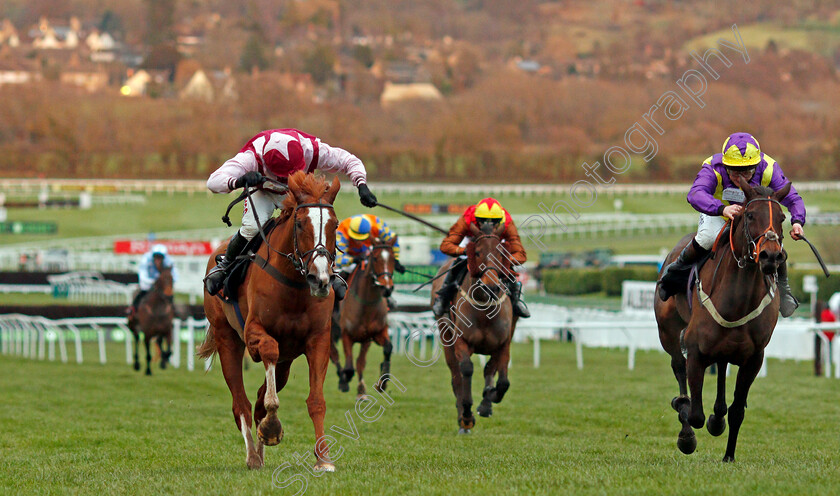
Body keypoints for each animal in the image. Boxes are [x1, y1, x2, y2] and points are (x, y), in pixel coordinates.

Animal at [199, 172, 340, 470]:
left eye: (334, 225)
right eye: (300, 223)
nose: (320, 279)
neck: (294, 285)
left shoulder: (318, 340)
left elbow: (315, 400)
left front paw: (323, 458)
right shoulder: (254, 333)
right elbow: (268, 353)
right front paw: (272, 427)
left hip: (287, 362)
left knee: (257, 399)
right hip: (227, 339)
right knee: (240, 403)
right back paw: (253, 455)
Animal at [328, 238, 398, 398]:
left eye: (393, 258)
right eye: (376, 258)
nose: (387, 288)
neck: (366, 304)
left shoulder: (372, 335)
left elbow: (385, 350)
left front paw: (380, 383)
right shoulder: (346, 334)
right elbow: (349, 367)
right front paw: (345, 379)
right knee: (334, 354)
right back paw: (342, 380)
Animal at [434, 222, 520, 434]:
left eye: (501, 253)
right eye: (478, 252)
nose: (491, 287)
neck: (484, 309)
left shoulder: (504, 342)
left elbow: (502, 380)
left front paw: (488, 400)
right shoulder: (461, 341)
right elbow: (465, 370)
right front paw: (466, 416)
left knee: (490, 369)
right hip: (445, 336)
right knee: (456, 376)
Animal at [652, 180, 792, 464]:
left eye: (782, 218)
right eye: (750, 216)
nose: (771, 257)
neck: (737, 301)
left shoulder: (754, 358)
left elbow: (737, 410)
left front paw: (728, 454)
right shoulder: (695, 352)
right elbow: (694, 413)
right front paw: (687, 431)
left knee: (721, 372)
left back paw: (717, 418)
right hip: (668, 333)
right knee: (678, 368)